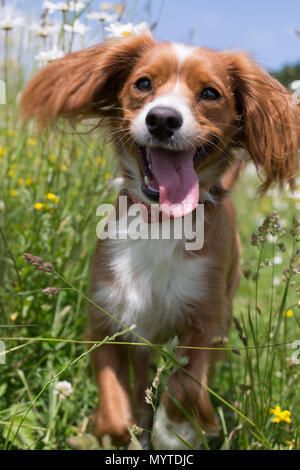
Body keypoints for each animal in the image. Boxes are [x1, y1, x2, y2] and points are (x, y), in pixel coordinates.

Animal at [19, 33, 298, 448]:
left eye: (210, 93)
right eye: (143, 83)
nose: (162, 119)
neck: (160, 222)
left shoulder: (209, 321)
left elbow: (186, 386)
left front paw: (177, 430)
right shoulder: (107, 323)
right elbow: (116, 410)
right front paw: (127, 432)